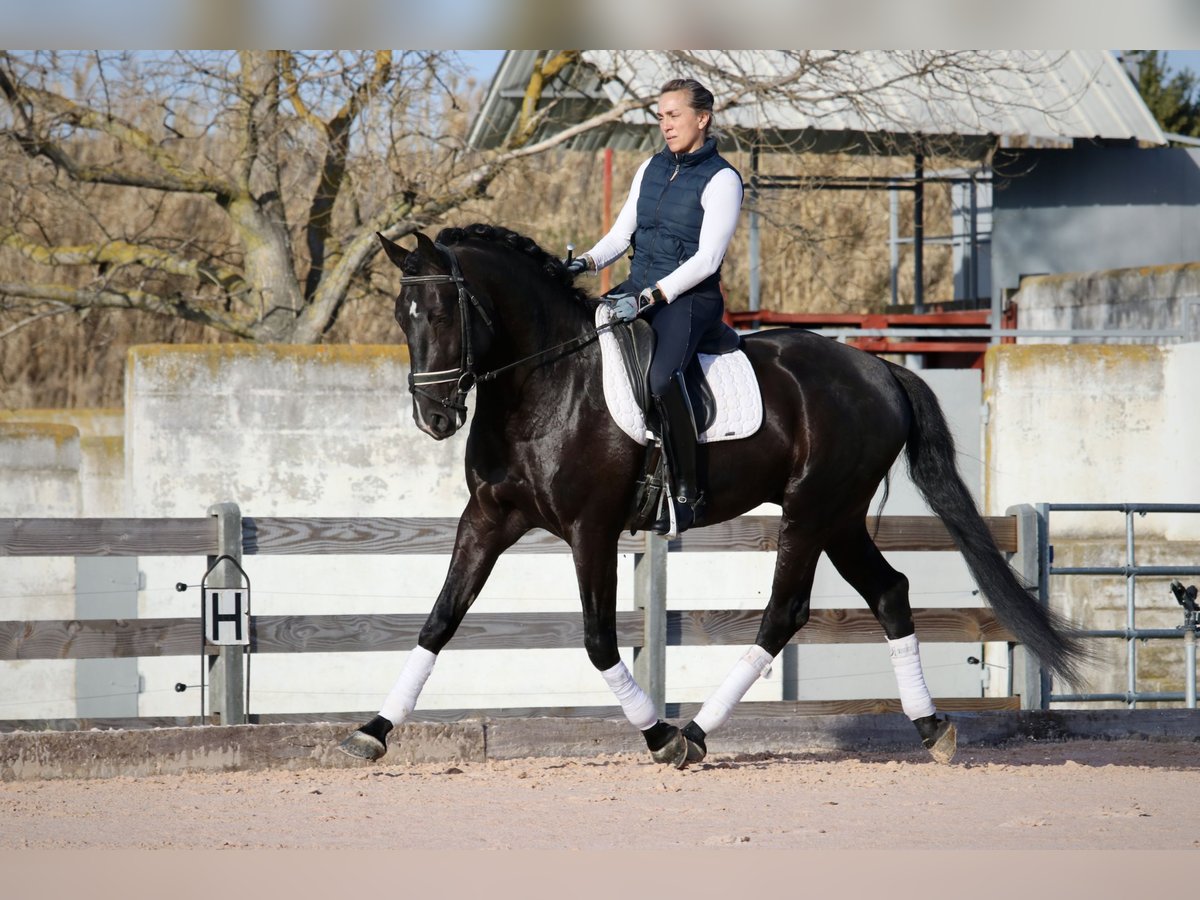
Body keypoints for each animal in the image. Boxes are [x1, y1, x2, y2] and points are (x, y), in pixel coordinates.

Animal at [340, 224, 1089, 768]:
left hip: (810, 513)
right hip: (841, 518)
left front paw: (659, 736)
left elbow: (599, 640)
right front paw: (373, 731)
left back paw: (696, 734)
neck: (545, 384)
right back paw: (932, 728)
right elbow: (438, 621)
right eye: (402, 315)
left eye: (443, 311)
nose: (434, 417)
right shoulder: (489, 519)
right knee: (890, 592)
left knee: (784, 614)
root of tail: (878, 368)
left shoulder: (592, 529)